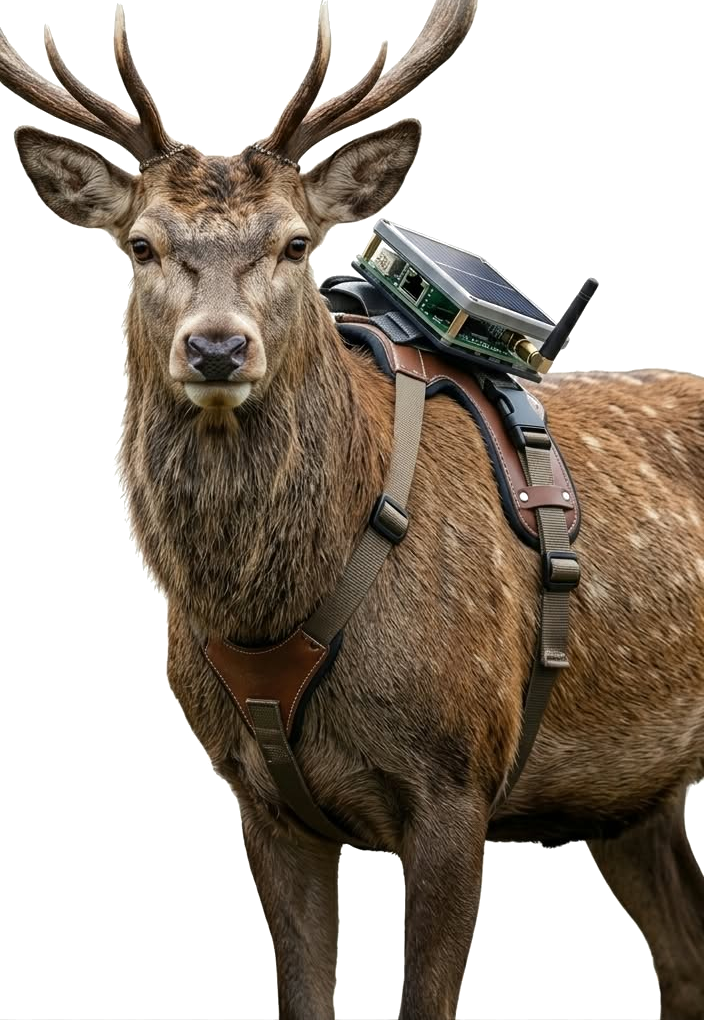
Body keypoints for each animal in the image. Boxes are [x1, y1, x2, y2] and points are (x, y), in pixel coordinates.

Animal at [1, 1, 703, 1017]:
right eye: (142, 244)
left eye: (296, 242)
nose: (217, 348)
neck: (268, 612)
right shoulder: (261, 799)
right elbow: (304, 995)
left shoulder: (457, 780)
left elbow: (425, 1001)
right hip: (632, 796)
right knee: (683, 952)